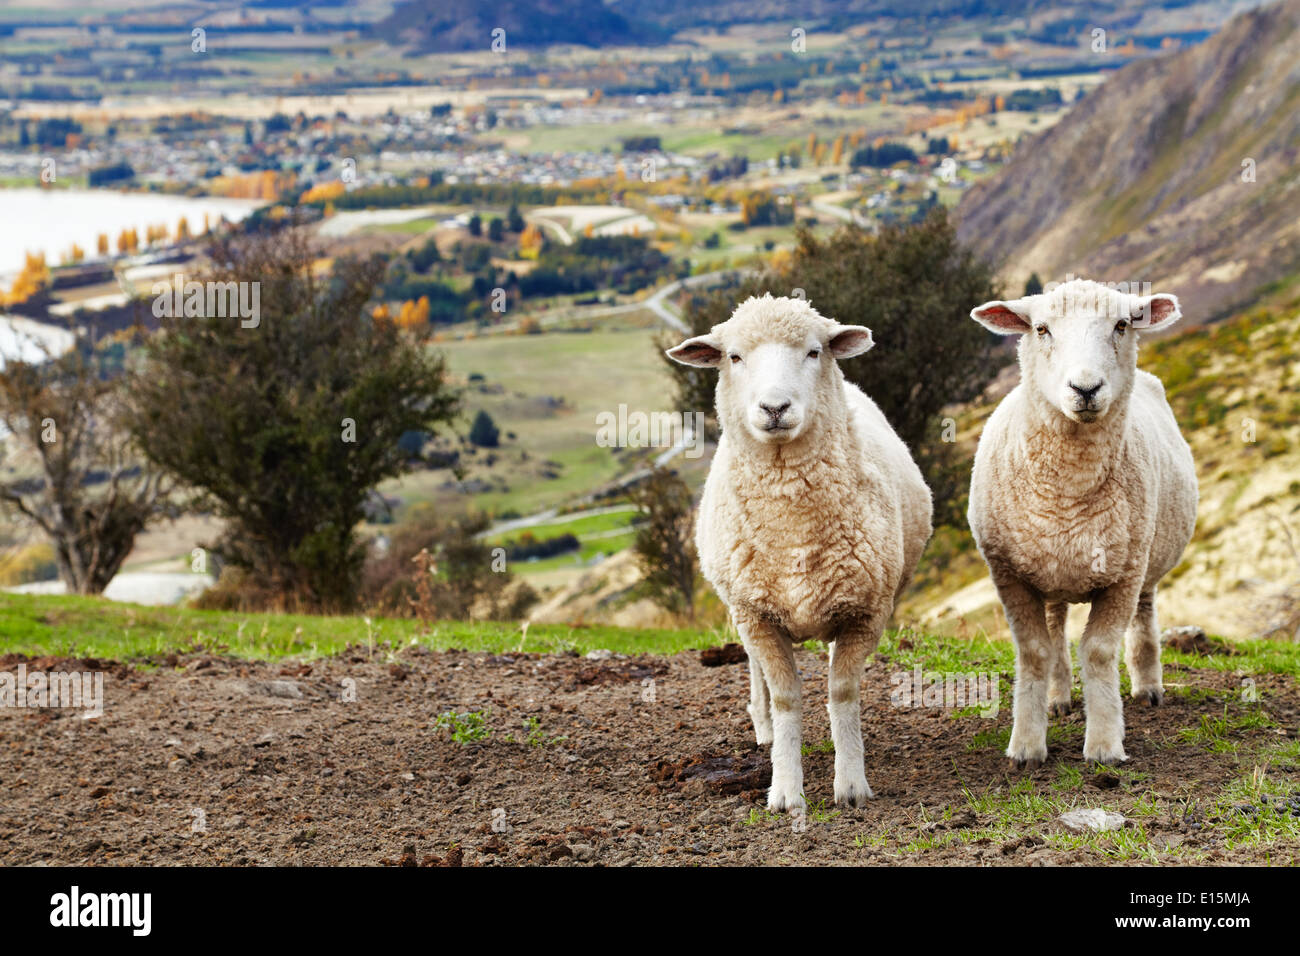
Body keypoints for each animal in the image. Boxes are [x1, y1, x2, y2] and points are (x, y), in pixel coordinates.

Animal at [670, 295, 935, 811]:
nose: (775, 407)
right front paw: (786, 791)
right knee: (758, 676)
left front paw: (850, 784)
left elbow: (843, 691)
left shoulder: (866, 611)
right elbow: (787, 697)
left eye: (814, 352)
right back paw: (765, 728)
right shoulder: (756, 615)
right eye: (734, 356)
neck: (793, 528)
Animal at [972, 278, 1190, 770]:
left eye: (1122, 324)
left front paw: (1105, 744)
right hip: (1050, 569)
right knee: (1055, 629)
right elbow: (1035, 651)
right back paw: (1057, 698)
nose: (1086, 388)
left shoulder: (1124, 574)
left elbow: (1099, 650)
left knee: (1145, 614)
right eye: (1041, 328)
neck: (1069, 495)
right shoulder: (1009, 574)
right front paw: (1026, 746)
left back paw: (1148, 686)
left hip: (1146, 556)